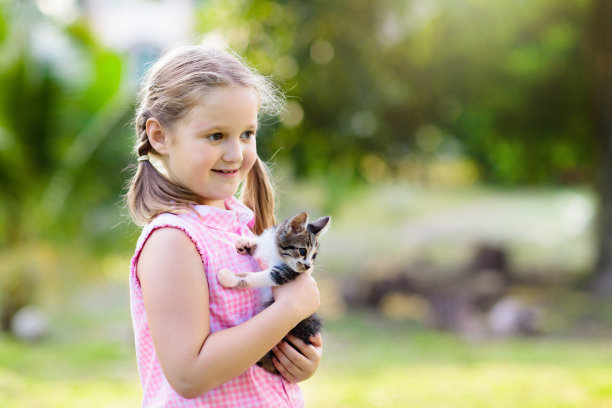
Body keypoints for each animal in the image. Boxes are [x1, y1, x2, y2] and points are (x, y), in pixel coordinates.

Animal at [216, 212, 328, 374]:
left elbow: (255, 277)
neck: (277, 251)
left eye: (314, 256)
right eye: (302, 251)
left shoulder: (283, 274)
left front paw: (229, 277)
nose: (308, 266)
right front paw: (246, 242)